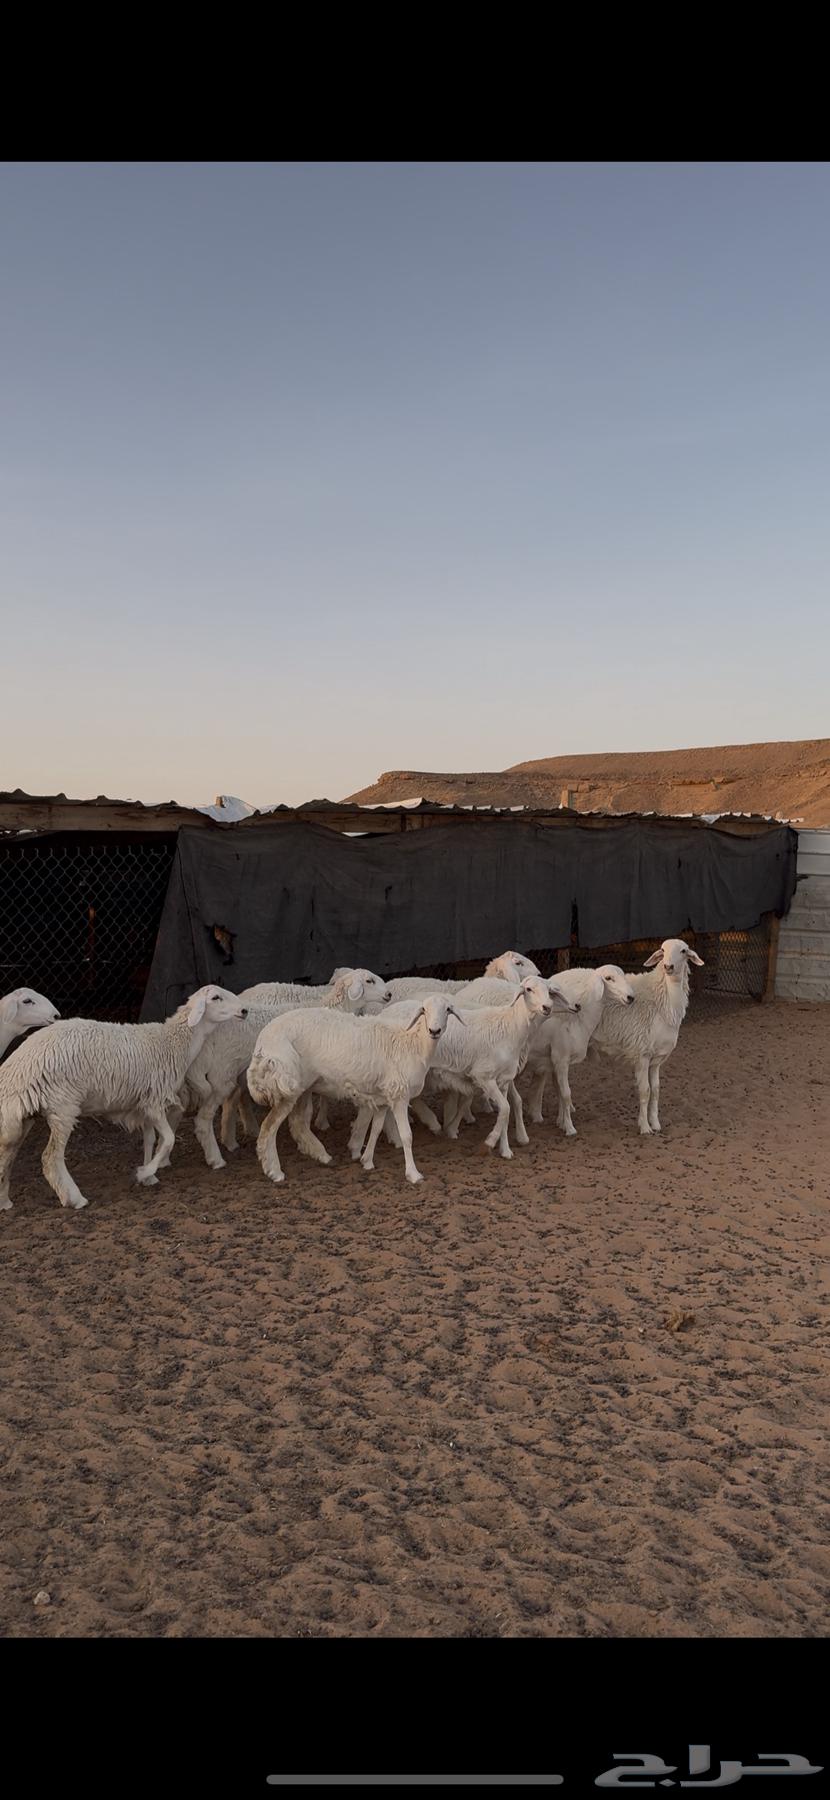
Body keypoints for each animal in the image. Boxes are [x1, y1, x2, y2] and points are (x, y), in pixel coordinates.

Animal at [0, 985, 246, 1213]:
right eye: (216, 997)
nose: (244, 1010)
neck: (172, 1043)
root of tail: (17, 1067)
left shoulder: (144, 1103)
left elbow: (150, 1140)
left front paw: (149, 1176)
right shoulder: (155, 1102)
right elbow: (168, 1139)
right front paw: (144, 1172)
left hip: (25, 1116)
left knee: (7, 1154)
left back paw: (5, 1202)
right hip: (63, 1108)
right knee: (50, 1158)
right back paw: (75, 1199)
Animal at [175, 972, 392, 1170]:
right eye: (369, 980)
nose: (389, 994)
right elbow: (304, 1113)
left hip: (237, 1072)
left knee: (236, 1100)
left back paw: (236, 1137)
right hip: (223, 1073)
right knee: (208, 1116)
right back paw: (217, 1156)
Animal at [247, 995, 463, 1186]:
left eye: (448, 1010)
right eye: (424, 1010)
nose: (434, 1030)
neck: (412, 1045)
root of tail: (261, 1044)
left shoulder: (384, 1097)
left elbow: (376, 1129)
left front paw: (366, 1161)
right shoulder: (399, 1095)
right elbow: (406, 1136)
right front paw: (413, 1174)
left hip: (303, 1086)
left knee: (298, 1122)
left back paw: (322, 1155)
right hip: (287, 1085)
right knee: (268, 1128)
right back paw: (275, 1171)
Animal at [520, 965, 635, 1135]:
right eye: (608, 978)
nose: (631, 997)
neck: (578, 1020)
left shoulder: (555, 1062)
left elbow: (560, 1091)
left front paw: (561, 1121)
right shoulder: (560, 1059)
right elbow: (566, 1094)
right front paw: (569, 1128)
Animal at [588, 938, 704, 1134]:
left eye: (683, 951)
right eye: (662, 950)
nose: (668, 966)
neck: (664, 1002)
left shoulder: (656, 1059)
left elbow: (656, 1090)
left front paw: (655, 1123)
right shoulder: (642, 1053)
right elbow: (645, 1091)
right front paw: (644, 1127)